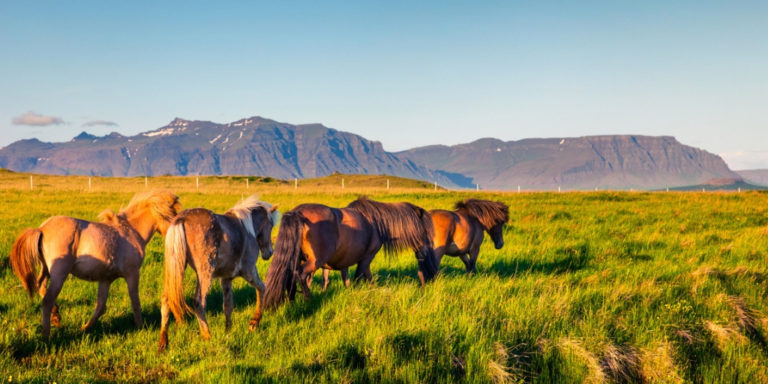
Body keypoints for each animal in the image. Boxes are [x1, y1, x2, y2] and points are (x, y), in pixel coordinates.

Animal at [9, 190, 181, 338]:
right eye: (173, 214)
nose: (175, 235)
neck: (131, 231)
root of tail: (42, 228)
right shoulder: (132, 274)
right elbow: (135, 301)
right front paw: (141, 326)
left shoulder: (106, 279)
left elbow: (100, 306)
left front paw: (85, 328)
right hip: (59, 274)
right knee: (47, 300)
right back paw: (47, 335)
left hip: (46, 270)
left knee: (40, 288)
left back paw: (56, 316)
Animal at [157, 195, 280, 352]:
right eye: (271, 225)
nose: (269, 253)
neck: (247, 229)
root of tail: (181, 219)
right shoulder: (249, 272)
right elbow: (262, 288)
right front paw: (254, 323)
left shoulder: (226, 278)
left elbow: (228, 306)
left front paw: (228, 332)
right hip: (205, 274)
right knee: (199, 302)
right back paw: (207, 337)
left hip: (176, 269)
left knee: (166, 299)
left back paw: (163, 342)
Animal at [262, 196, 438, 308]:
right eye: (426, 231)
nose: (425, 257)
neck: (377, 222)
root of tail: (297, 213)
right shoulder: (366, 258)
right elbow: (359, 278)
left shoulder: (347, 262)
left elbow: (355, 279)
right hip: (314, 261)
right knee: (300, 274)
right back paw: (308, 300)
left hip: (298, 258)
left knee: (291, 274)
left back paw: (291, 301)